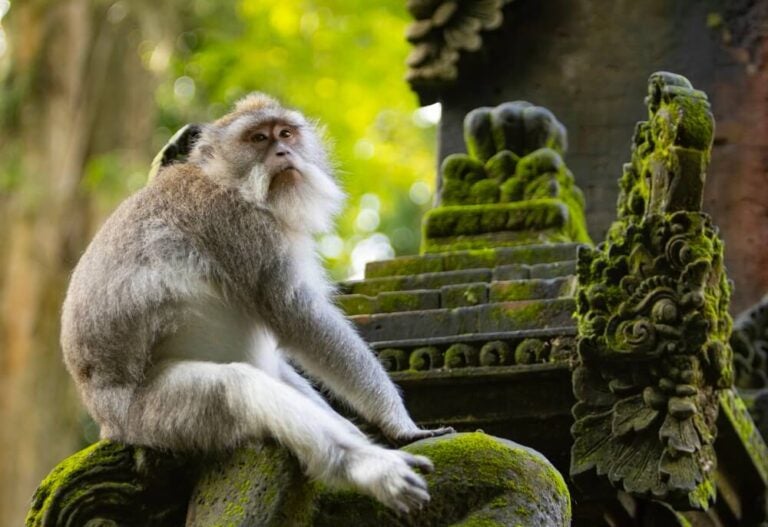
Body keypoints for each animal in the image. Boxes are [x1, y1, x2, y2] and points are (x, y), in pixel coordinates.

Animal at [61, 93, 453, 513]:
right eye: (258, 138)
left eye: (286, 134)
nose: (283, 151)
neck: (230, 182)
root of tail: (106, 422)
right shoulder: (243, 227)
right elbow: (298, 316)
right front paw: (401, 425)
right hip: (152, 419)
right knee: (238, 389)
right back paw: (365, 467)